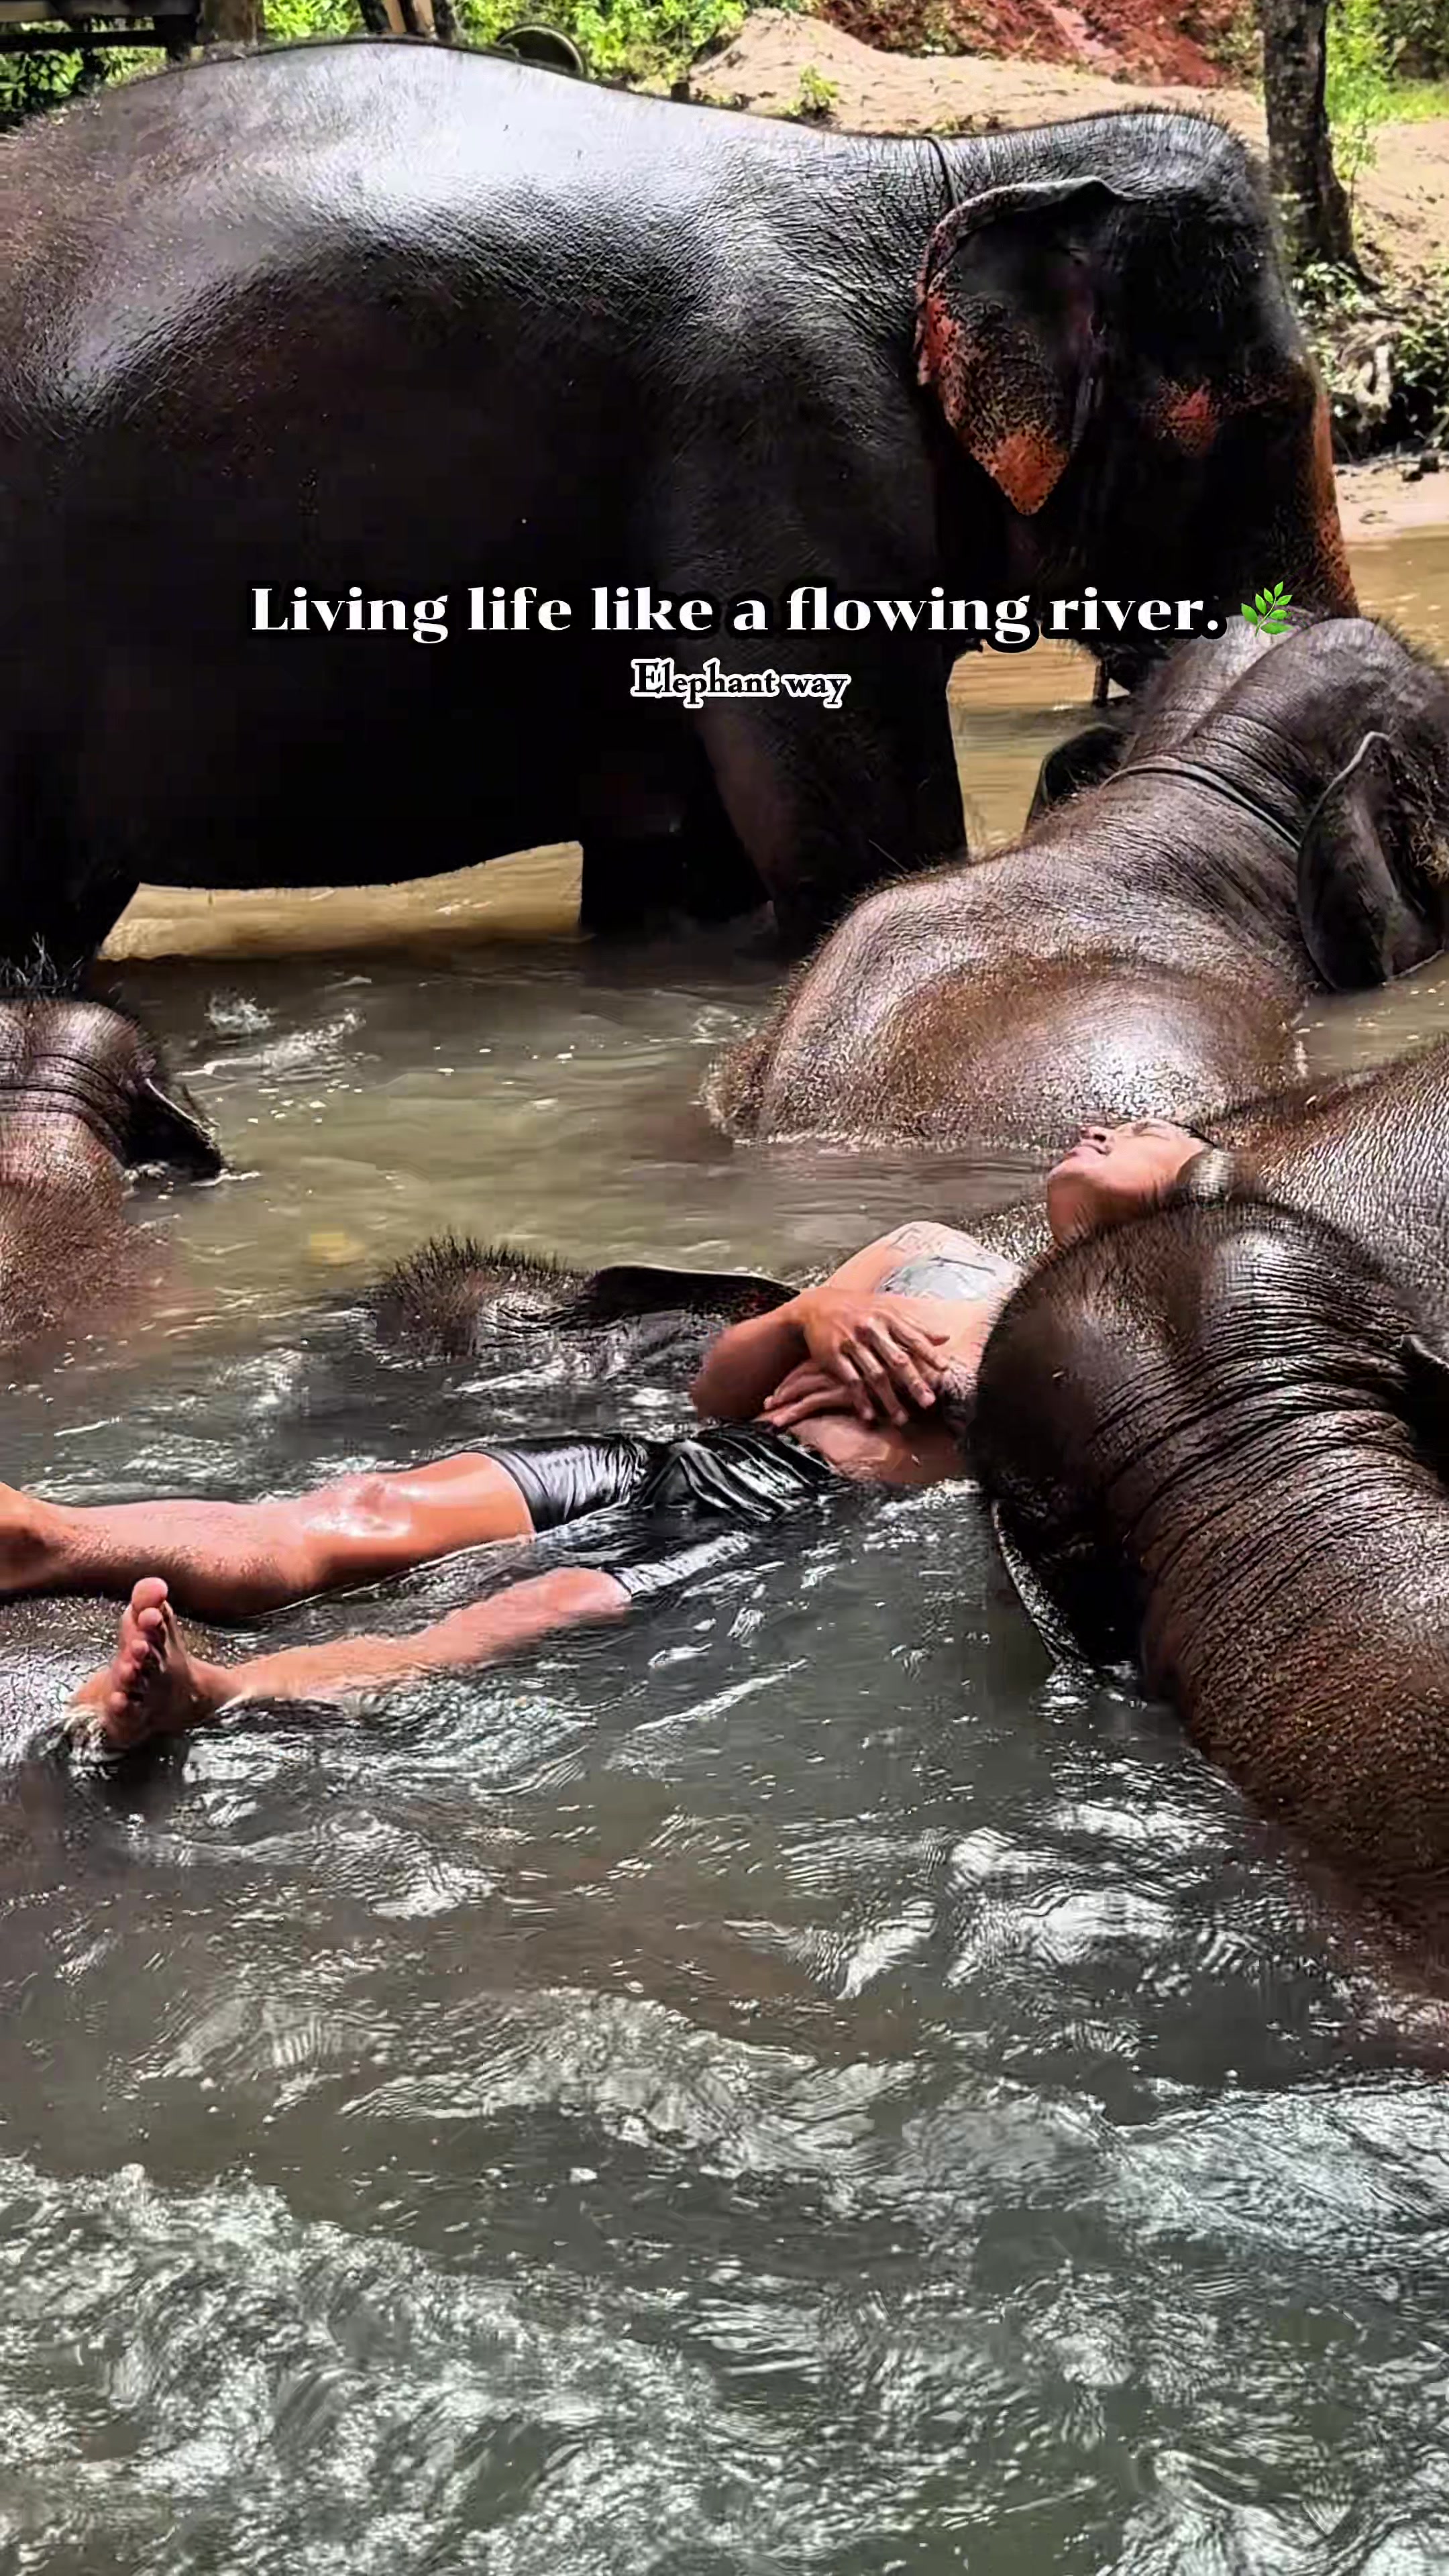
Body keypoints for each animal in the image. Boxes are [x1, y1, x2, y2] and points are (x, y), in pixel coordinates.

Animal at [0, 44, 1355, 970]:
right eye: (1277, 412)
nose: (1091, 748)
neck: (932, 174)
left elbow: (688, 866)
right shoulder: (786, 457)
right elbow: (859, 853)